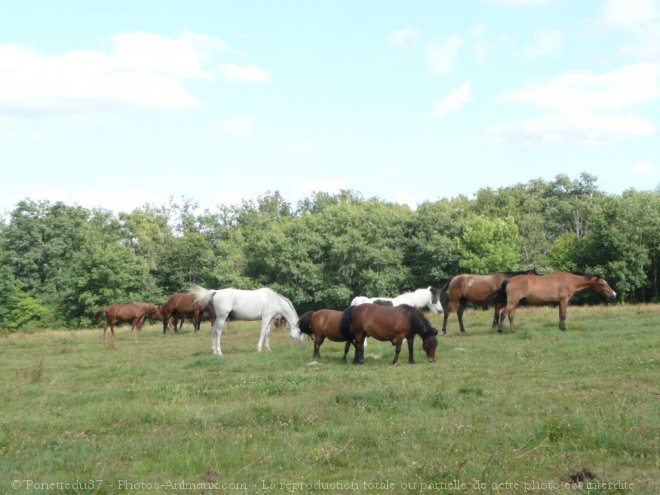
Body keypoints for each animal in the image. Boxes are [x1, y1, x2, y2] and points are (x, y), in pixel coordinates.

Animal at [490, 272, 620, 334]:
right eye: (602, 284)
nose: (614, 294)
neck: (570, 281)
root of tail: (509, 280)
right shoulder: (564, 300)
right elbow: (563, 315)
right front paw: (563, 329)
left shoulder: (560, 302)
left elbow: (560, 315)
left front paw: (560, 328)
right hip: (512, 302)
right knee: (503, 314)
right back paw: (500, 330)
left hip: (515, 303)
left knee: (511, 316)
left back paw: (513, 331)